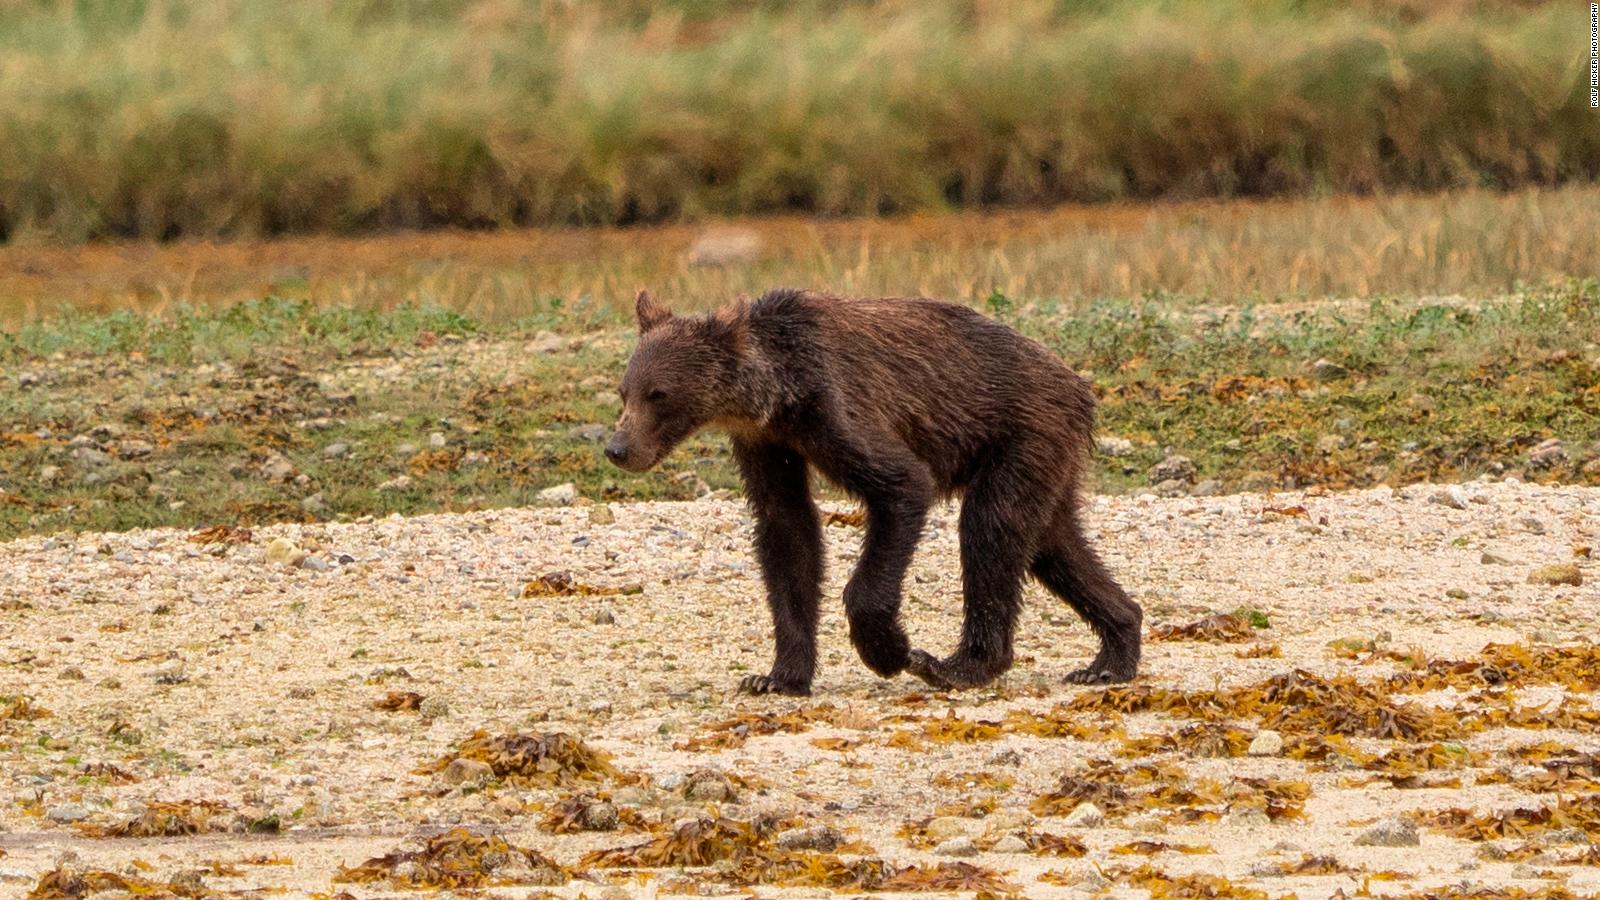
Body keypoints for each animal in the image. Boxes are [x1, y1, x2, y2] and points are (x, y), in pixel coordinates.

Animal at [601, 286, 1139, 695]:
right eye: (624, 391)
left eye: (658, 394)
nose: (618, 447)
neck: (778, 393)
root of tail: (1078, 383)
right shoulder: (766, 442)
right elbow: (787, 531)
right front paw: (777, 676)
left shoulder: (836, 408)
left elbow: (902, 485)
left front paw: (888, 649)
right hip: (1045, 455)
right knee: (1052, 543)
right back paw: (1111, 653)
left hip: (1022, 430)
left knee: (992, 527)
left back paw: (956, 665)